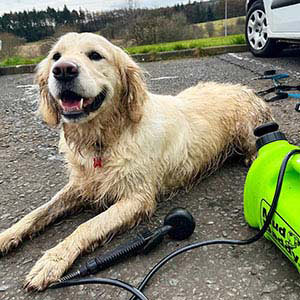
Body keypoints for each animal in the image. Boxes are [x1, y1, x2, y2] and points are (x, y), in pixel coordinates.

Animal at [0, 31, 274, 290]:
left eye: (95, 55)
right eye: (56, 56)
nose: (63, 70)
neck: (105, 139)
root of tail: (248, 90)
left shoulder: (137, 198)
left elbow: (87, 226)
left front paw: (52, 261)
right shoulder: (81, 184)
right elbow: (38, 212)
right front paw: (6, 235)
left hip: (247, 132)